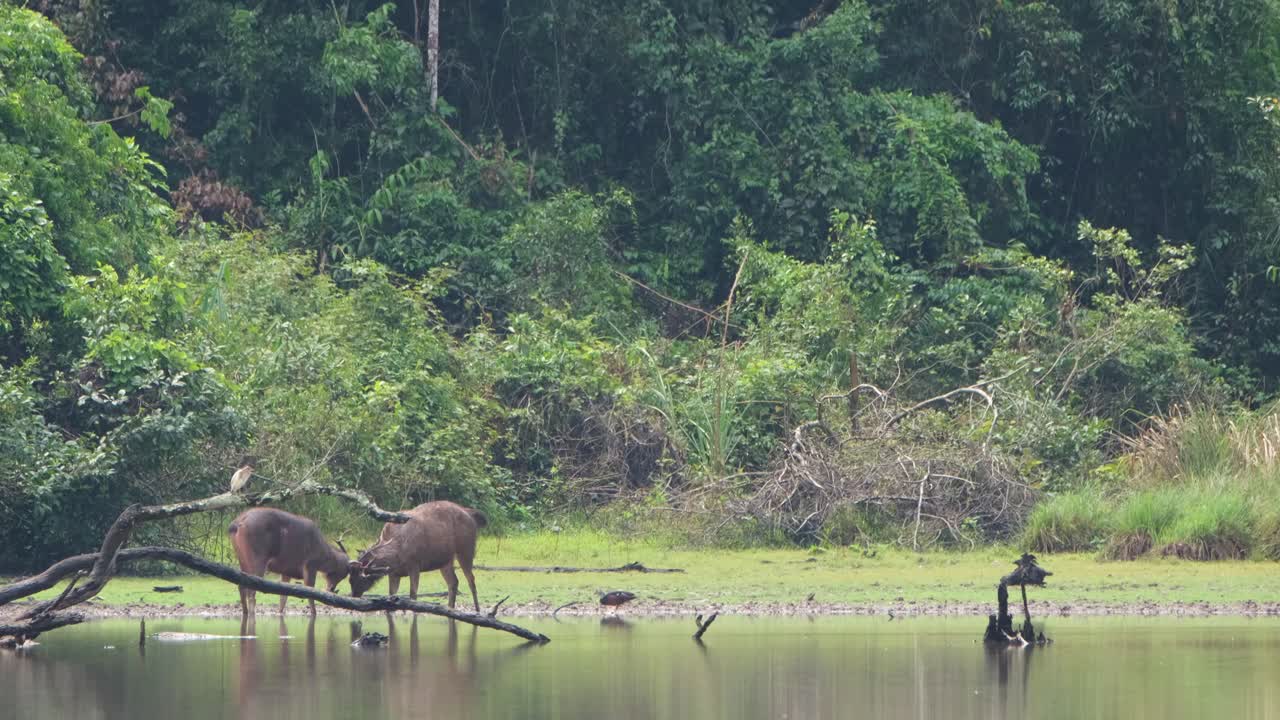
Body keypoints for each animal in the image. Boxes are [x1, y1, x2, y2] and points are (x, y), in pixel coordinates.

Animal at [347, 500, 486, 612]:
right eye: (350, 579)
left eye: (360, 579)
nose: (354, 595)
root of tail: (471, 514)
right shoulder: (393, 573)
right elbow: (392, 595)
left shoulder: (415, 565)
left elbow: (413, 595)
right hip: (445, 561)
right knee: (454, 582)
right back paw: (450, 608)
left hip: (466, 549)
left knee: (471, 580)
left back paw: (477, 610)